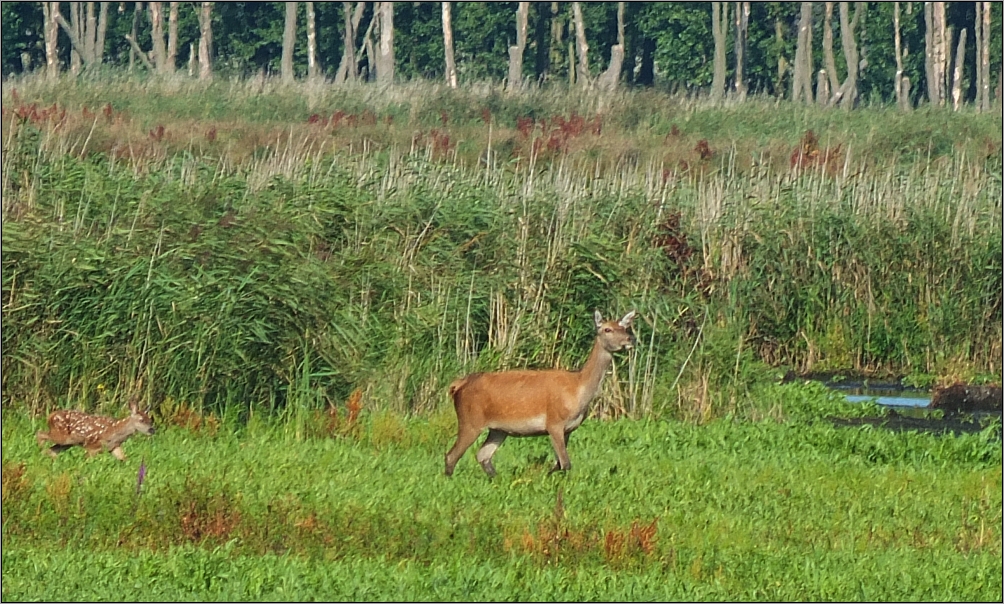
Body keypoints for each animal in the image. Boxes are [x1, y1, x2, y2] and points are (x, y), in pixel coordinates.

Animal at [445, 311, 634, 475]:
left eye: (625, 328)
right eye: (607, 329)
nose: (630, 339)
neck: (578, 391)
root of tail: (458, 385)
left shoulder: (569, 429)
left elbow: (558, 464)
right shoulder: (554, 423)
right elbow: (566, 463)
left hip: (498, 429)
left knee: (483, 455)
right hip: (470, 420)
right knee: (451, 456)